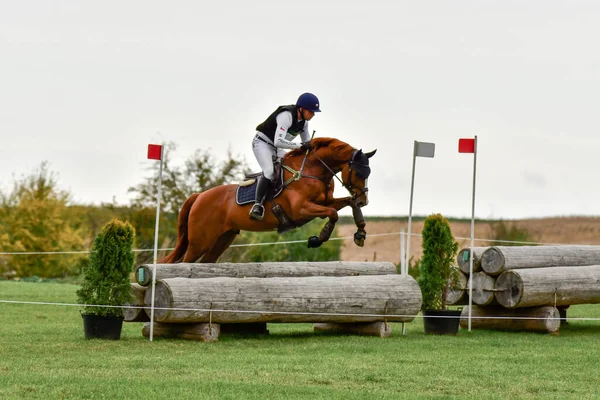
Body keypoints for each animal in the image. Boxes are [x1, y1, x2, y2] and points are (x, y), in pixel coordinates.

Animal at [159, 138, 376, 266]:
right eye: (358, 172)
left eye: (368, 174)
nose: (364, 200)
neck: (312, 171)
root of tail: (198, 196)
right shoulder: (301, 210)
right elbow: (333, 213)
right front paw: (318, 239)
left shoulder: (326, 201)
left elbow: (346, 203)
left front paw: (360, 233)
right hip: (199, 242)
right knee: (184, 262)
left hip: (222, 239)